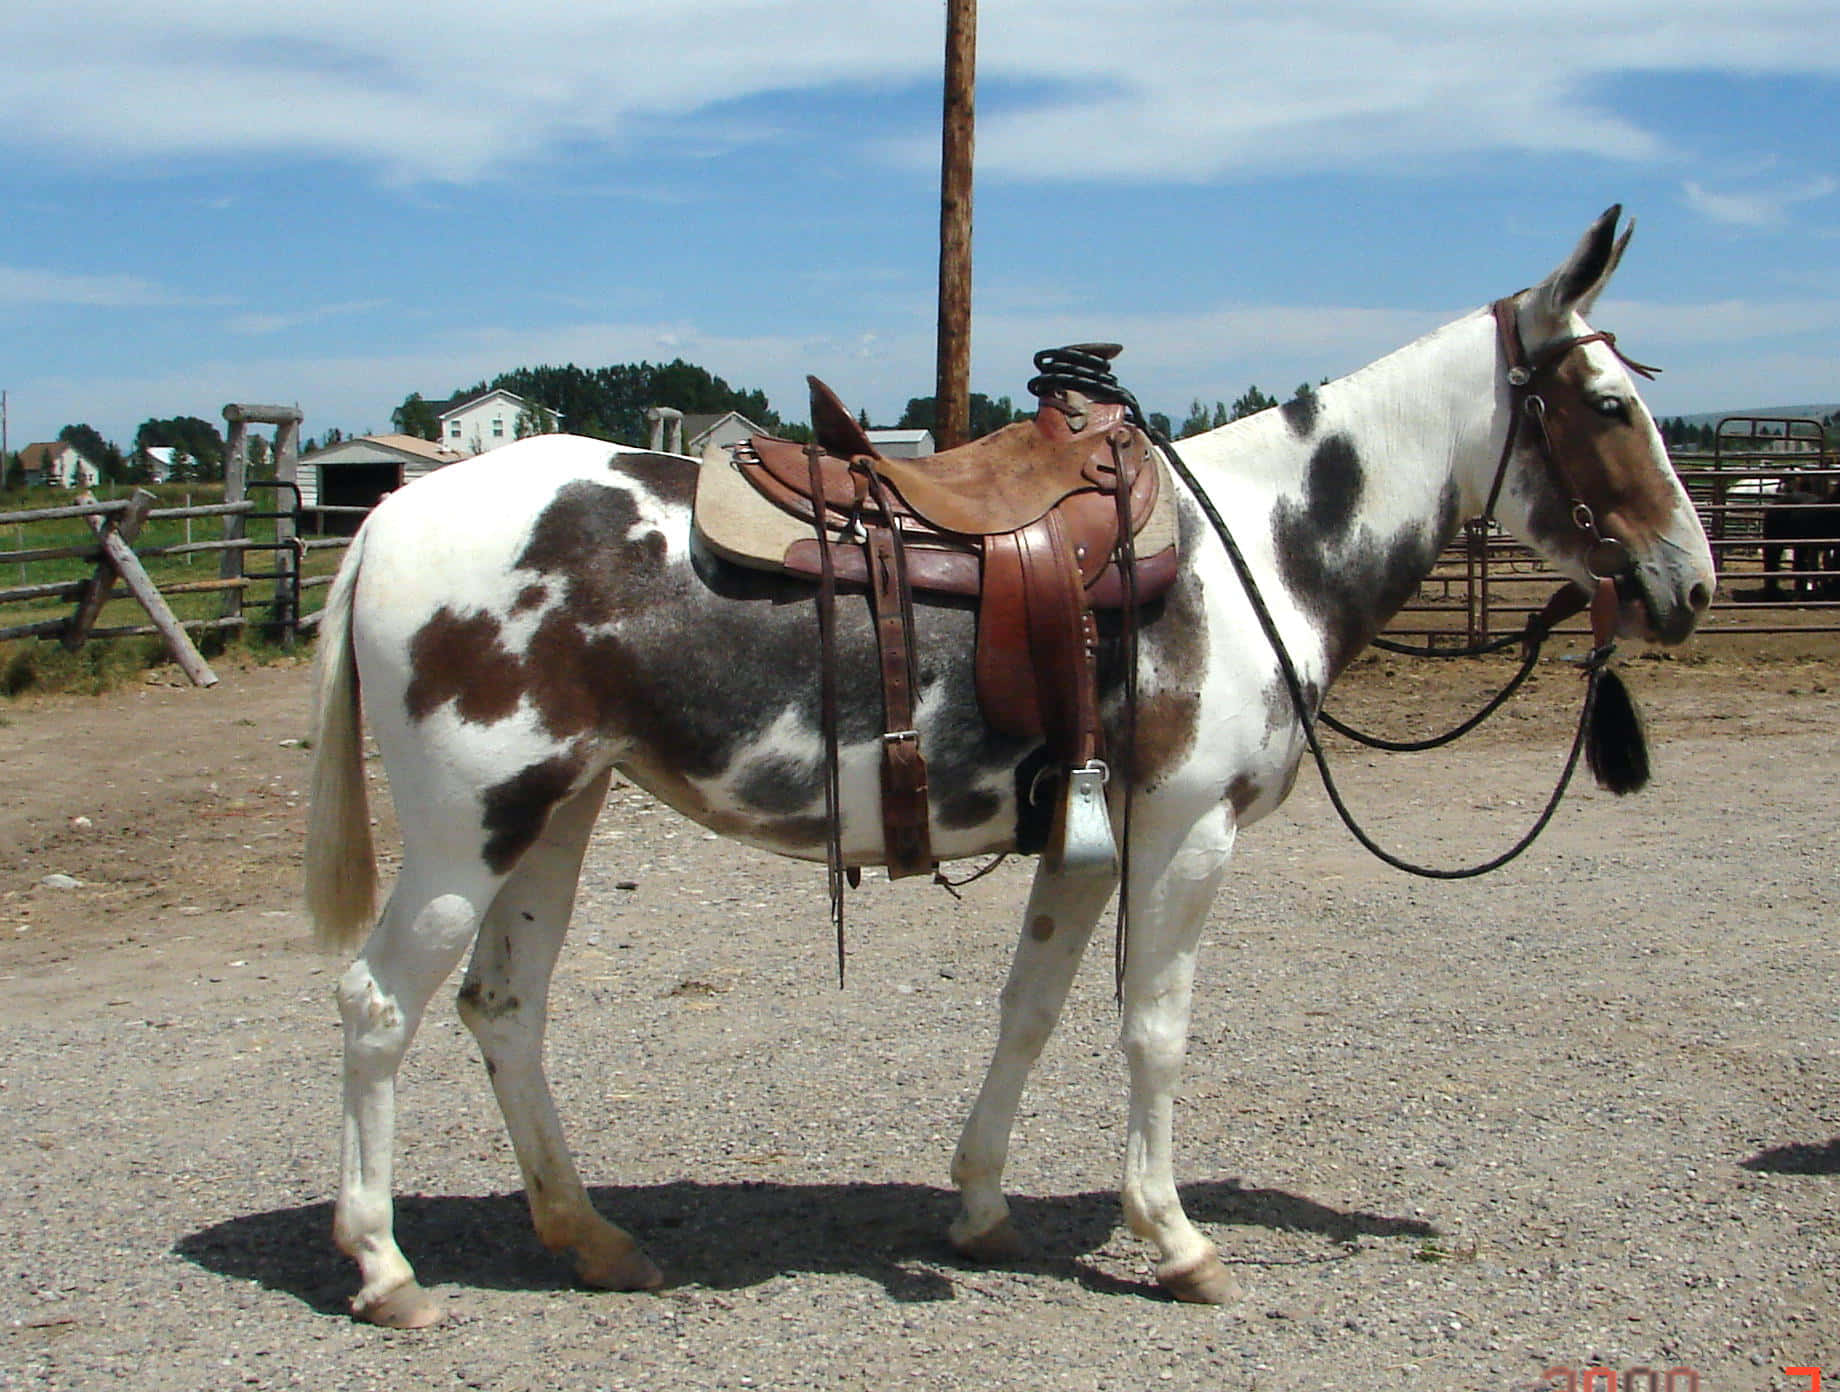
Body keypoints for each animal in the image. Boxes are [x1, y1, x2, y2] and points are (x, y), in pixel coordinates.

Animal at [309, 208, 1714, 1323]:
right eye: (1607, 407)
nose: (1690, 584)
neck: (1254, 547)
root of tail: (390, 516)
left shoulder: (1087, 841)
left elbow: (1028, 1012)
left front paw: (980, 1207)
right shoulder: (1184, 834)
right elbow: (1154, 1028)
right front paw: (1179, 1241)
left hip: (558, 811)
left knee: (506, 1008)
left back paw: (590, 1239)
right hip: (470, 827)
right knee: (378, 1006)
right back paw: (385, 1271)